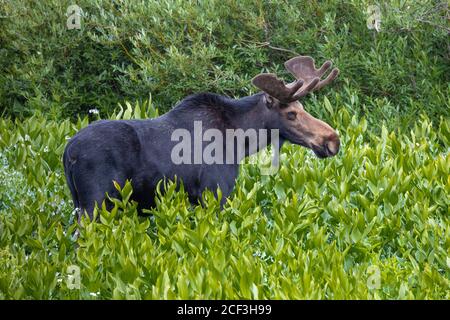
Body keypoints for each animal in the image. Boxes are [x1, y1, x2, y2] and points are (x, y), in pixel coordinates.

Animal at [62, 55, 338, 220]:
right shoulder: (216, 192)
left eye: (302, 108)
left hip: (80, 203)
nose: (332, 140)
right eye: (291, 113)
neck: (241, 142)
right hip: (96, 203)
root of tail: (67, 153)